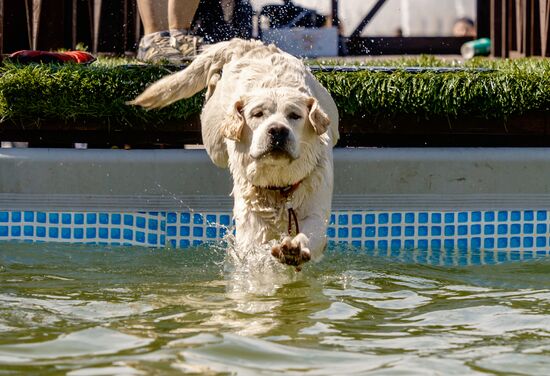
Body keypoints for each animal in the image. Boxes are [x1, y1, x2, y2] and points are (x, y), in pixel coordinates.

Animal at [130, 39, 340, 270]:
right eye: (257, 114)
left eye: (295, 115)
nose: (277, 130)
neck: (278, 186)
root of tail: (247, 44)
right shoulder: (251, 223)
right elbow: (255, 254)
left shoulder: (316, 209)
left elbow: (311, 233)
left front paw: (294, 249)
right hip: (214, 143)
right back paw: (213, 80)